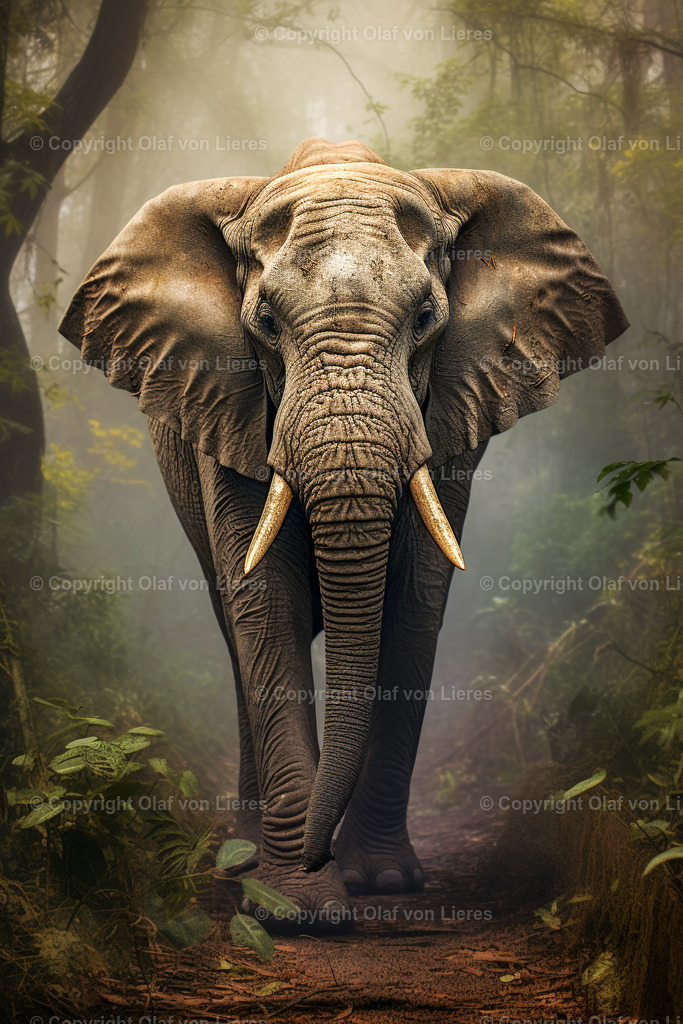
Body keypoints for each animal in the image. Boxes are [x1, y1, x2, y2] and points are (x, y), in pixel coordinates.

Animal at [59, 136, 628, 925]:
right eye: (265, 323)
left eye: (426, 318)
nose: (316, 854)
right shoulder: (225, 403)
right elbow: (265, 605)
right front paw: (295, 906)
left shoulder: (451, 410)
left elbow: (414, 604)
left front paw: (381, 883)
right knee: (232, 629)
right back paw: (244, 859)